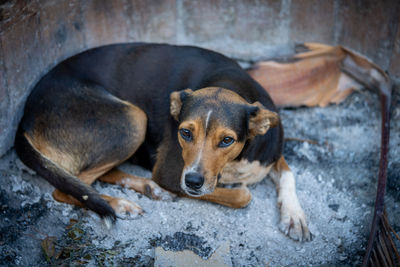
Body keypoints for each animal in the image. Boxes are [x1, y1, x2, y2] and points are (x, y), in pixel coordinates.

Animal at [14, 43, 310, 242]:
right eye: (185, 133)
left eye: (227, 140)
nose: (192, 182)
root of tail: (24, 117)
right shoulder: (170, 173)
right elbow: (243, 195)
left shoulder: (272, 153)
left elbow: (288, 174)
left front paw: (294, 217)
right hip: (133, 119)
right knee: (68, 188)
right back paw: (120, 204)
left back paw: (148, 189)